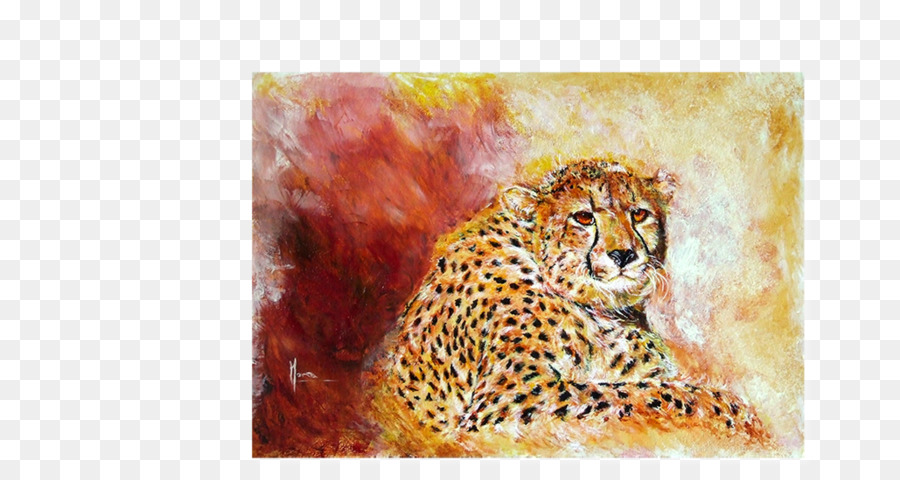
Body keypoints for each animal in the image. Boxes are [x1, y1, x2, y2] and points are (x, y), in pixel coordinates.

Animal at [368, 157, 770, 456]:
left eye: (639, 214)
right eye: (584, 217)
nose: (623, 254)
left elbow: (644, 386)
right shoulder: (509, 402)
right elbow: (634, 394)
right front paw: (731, 411)